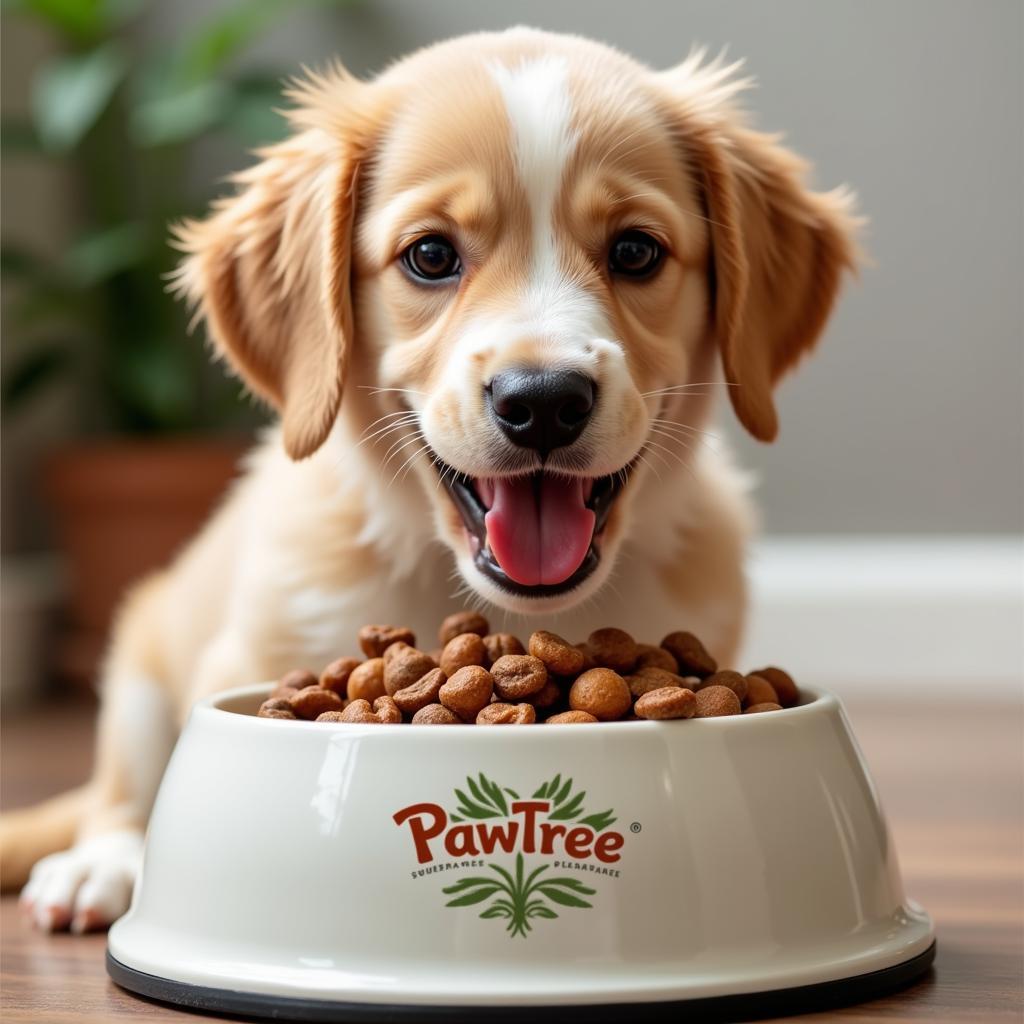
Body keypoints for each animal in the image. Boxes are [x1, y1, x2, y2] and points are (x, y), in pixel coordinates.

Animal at [2, 28, 856, 933]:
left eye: (635, 251)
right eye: (431, 255)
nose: (542, 402)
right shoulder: (240, 649)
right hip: (145, 642)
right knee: (121, 787)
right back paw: (100, 864)